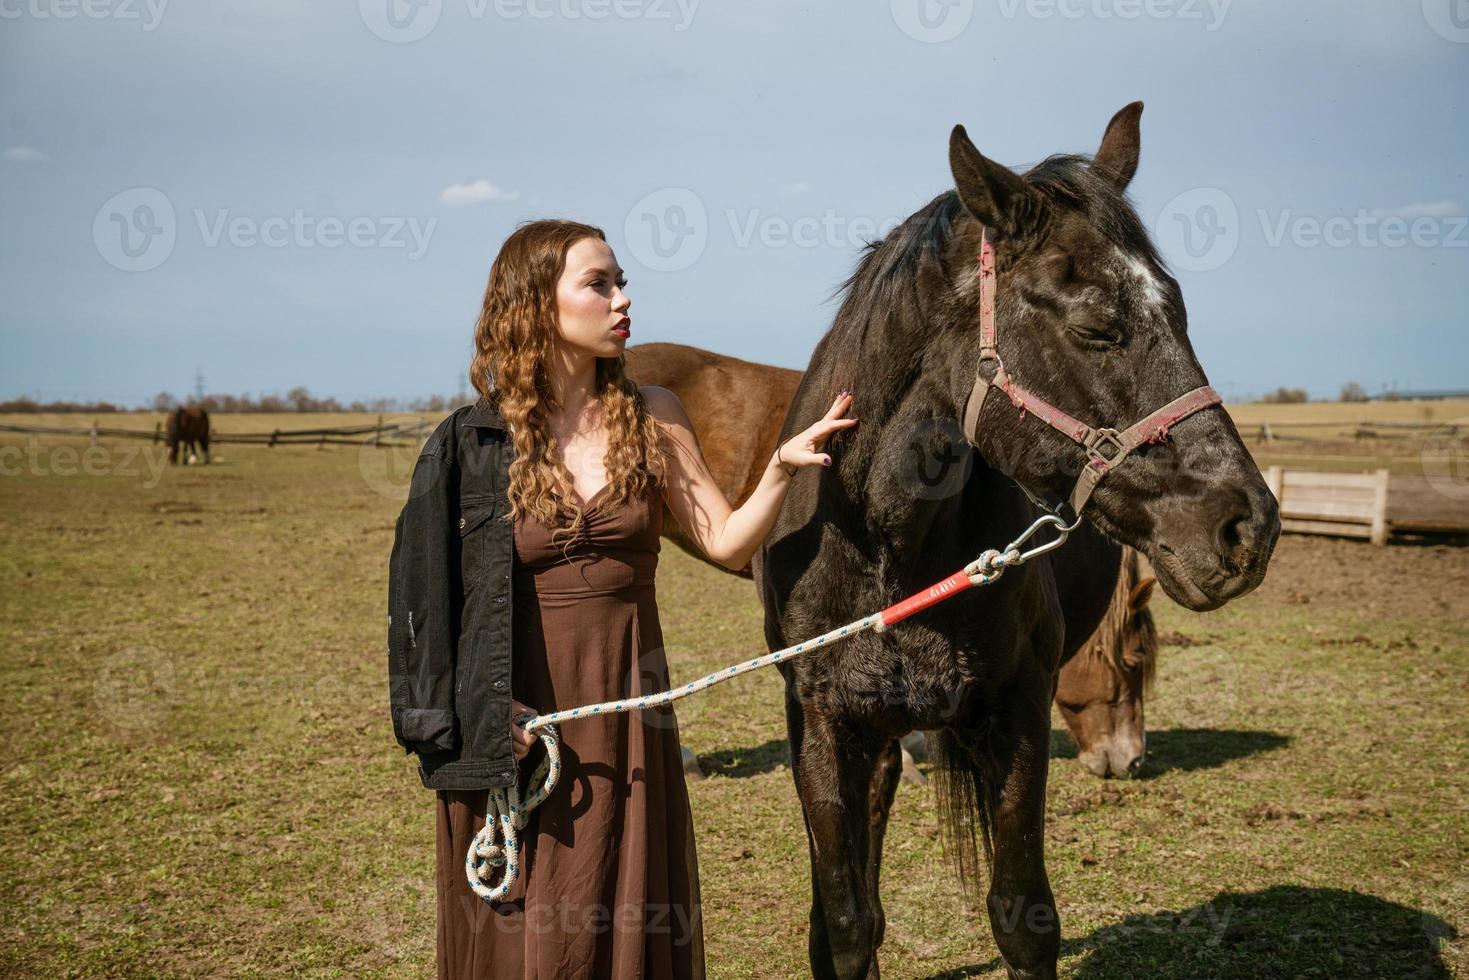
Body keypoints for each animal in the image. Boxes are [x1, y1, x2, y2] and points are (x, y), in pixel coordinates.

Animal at [752, 103, 1280, 975]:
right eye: (1098, 324)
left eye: (1177, 306)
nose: (1247, 527)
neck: (886, 550)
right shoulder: (823, 726)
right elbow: (846, 922)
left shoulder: (1015, 712)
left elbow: (1022, 917)